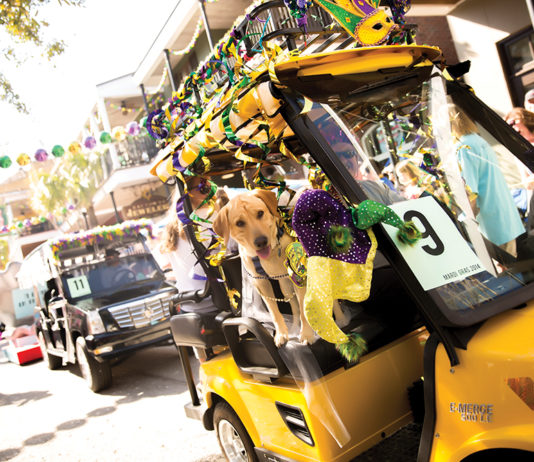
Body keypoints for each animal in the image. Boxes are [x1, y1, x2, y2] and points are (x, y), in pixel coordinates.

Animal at [214, 189, 316, 346]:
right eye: (239, 223)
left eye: (260, 213)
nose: (261, 241)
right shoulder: (261, 284)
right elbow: (275, 312)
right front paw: (281, 334)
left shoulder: (299, 278)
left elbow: (304, 308)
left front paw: (307, 334)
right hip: (285, 287)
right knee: (295, 308)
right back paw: (294, 327)